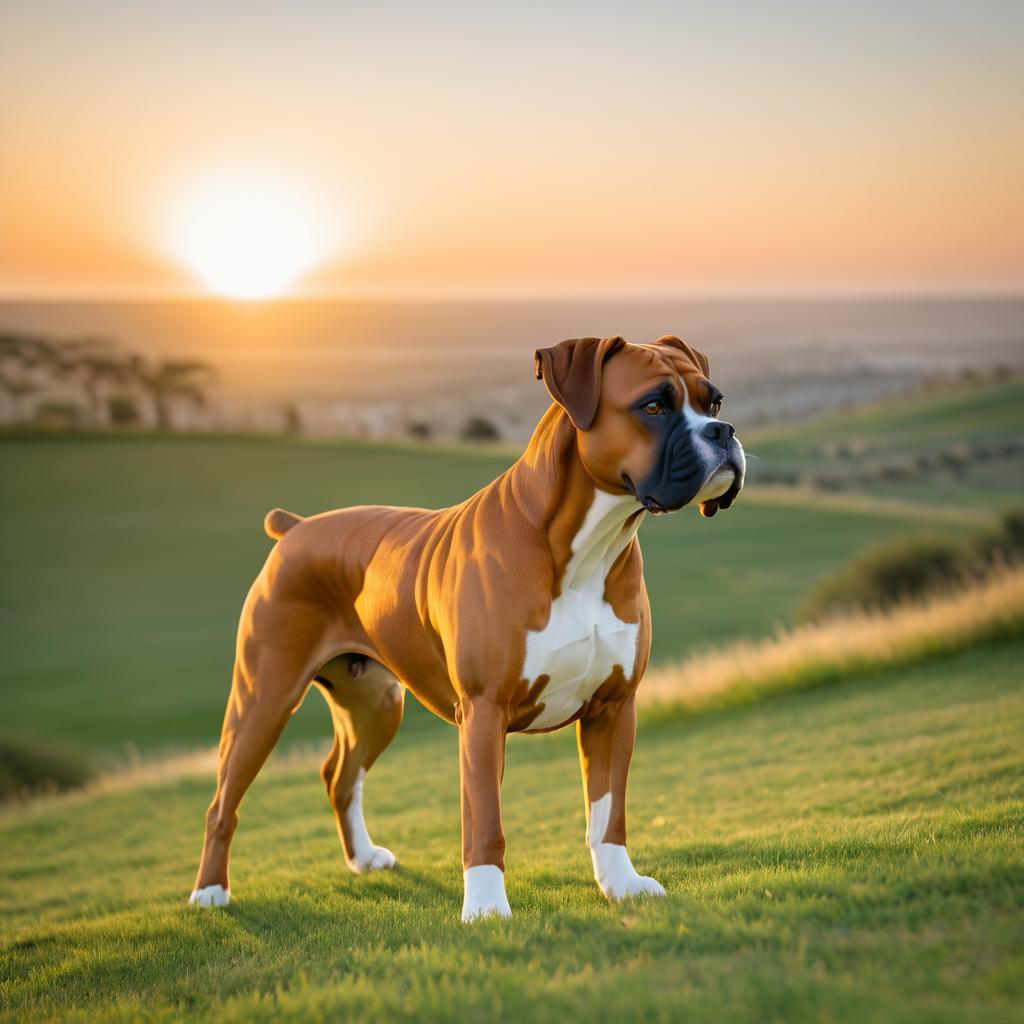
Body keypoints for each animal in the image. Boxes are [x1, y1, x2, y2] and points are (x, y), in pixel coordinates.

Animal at [190, 333, 745, 921]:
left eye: (714, 402)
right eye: (654, 406)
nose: (723, 432)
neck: (588, 546)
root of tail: (294, 530)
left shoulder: (614, 708)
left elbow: (608, 812)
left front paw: (622, 884)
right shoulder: (483, 712)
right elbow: (486, 823)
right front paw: (485, 908)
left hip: (376, 705)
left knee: (339, 777)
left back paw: (362, 858)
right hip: (264, 700)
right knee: (222, 802)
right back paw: (210, 892)